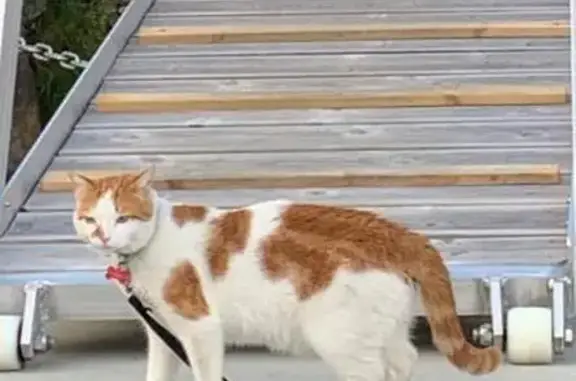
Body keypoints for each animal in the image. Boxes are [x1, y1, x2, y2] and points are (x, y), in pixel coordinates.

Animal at [70, 168, 502, 380]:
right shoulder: (162, 335)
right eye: (90, 218)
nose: (103, 234)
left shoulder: (200, 330)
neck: (151, 241)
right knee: (404, 361)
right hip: (381, 327)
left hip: (339, 338)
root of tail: (396, 232)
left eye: (122, 217)